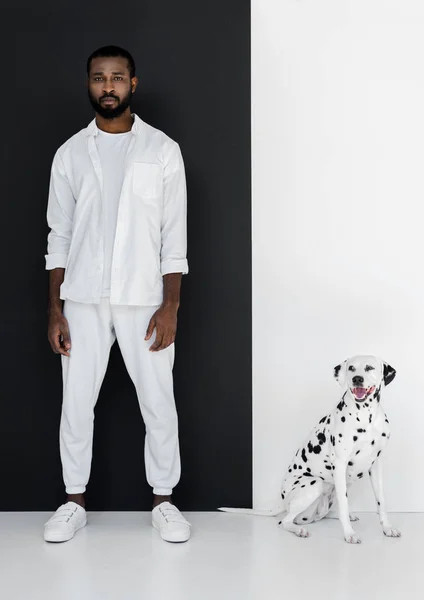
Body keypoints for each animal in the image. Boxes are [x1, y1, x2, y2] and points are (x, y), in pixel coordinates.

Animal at [220, 354, 402, 548]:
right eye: (351, 368)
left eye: (369, 368)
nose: (357, 379)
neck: (366, 417)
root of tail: (281, 501)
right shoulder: (340, 464)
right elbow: (344, 504)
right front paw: (349, 534)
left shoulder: (375, 465)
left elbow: (381, 501)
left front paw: (387, 528)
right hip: (314, 485)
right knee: (284, 521)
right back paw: (299, 530)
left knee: (324, 513)